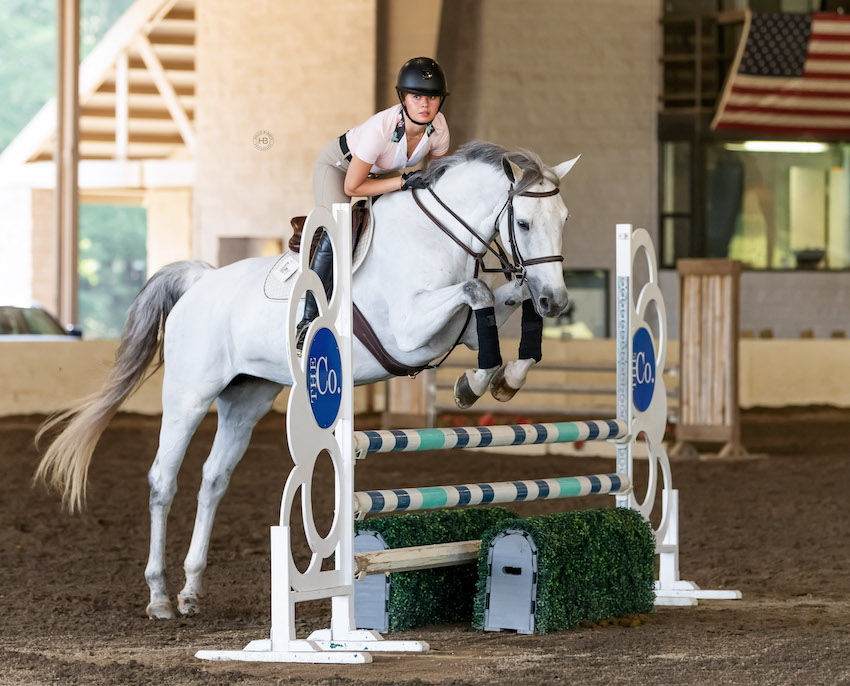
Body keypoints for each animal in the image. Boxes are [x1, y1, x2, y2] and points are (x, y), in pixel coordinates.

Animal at [33, 140, 576, 620]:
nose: (558, 301)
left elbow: (503, 299)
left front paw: (504, 377)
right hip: (190, 395)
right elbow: (478, 291)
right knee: (163, 481)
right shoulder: (409, 332)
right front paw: (476, 383)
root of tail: (201, 280)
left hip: (246, 399)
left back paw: (190, 591)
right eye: (523, 222)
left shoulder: (455, 331)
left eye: (564, 220)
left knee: (213, 480)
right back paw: (159, 597)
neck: (436, 237)